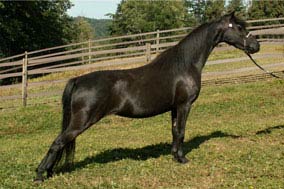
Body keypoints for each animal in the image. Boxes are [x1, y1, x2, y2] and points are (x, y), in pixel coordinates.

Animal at [35, 12, 260, 181]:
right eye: (239, 27)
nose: (256, 46)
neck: (185, 64)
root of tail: (78, 80)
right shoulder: (184, 105)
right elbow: (181, 132)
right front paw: (183, 160)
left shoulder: (174, 108)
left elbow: (175, 131)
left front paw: (175, 156)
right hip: (81, 121)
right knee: (57, 142)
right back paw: (40, 175)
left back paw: (48, 172)